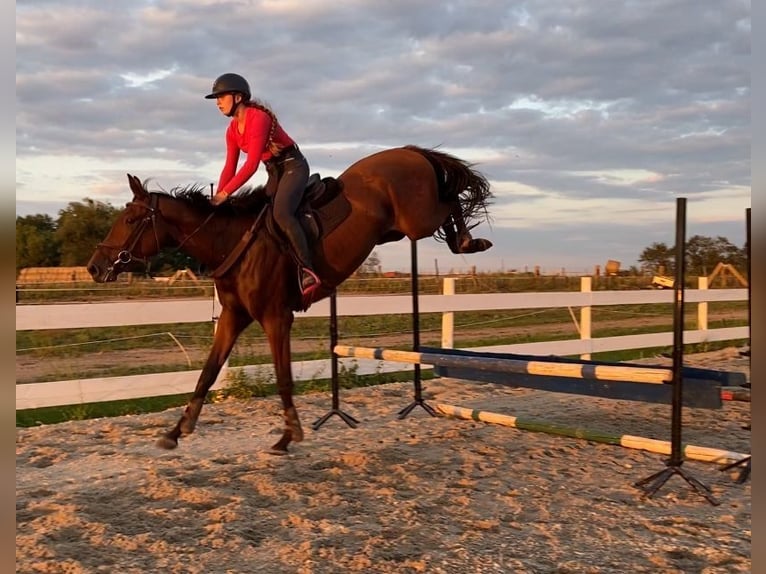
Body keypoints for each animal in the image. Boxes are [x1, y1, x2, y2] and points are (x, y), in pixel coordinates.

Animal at [87, 144, 496, 454]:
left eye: (129, 221)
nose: (94, 267)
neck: (230, 242)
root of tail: (410, 151)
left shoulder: (276, 318)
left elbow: (283, 377)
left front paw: (288, 436)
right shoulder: (234, 317)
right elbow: (207, 373)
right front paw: (176, 431)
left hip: (418, 220)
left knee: (451, 202)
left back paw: (469, 241)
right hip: (398, 230)